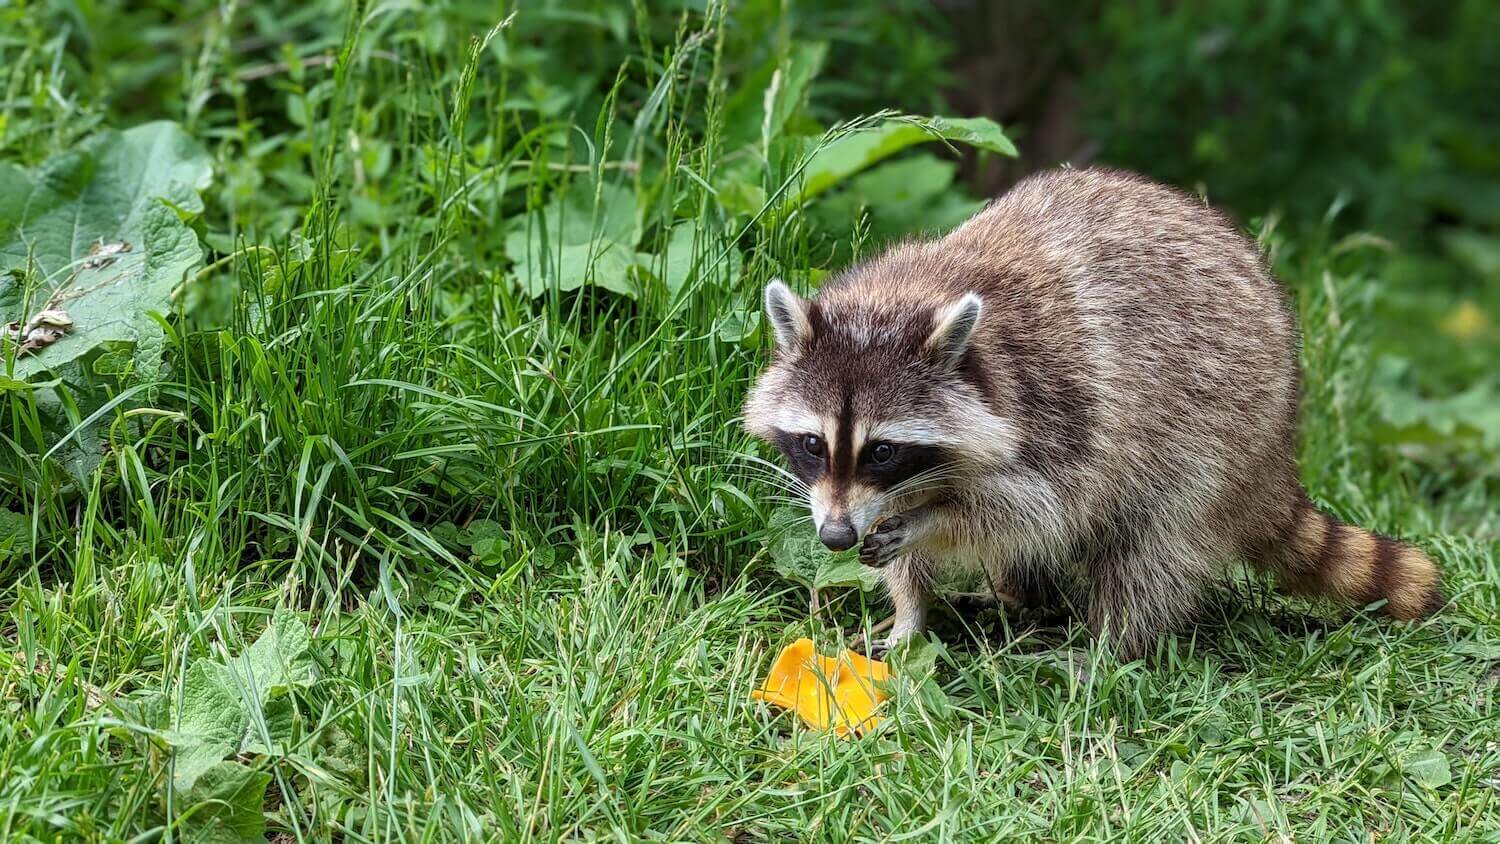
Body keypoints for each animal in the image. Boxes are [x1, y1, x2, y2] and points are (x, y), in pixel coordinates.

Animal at [744, 167, 1446, 659]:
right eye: (812, 444)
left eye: (882, 450)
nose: (836, 537)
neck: (904, 296)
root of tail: (1278, 451)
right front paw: (911, 613)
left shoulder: (1066, 399)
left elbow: (1039, 509)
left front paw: (929, 524)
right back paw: (1020, 598)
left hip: (1223, 428)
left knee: (1156, 542)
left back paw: (1110, 646)